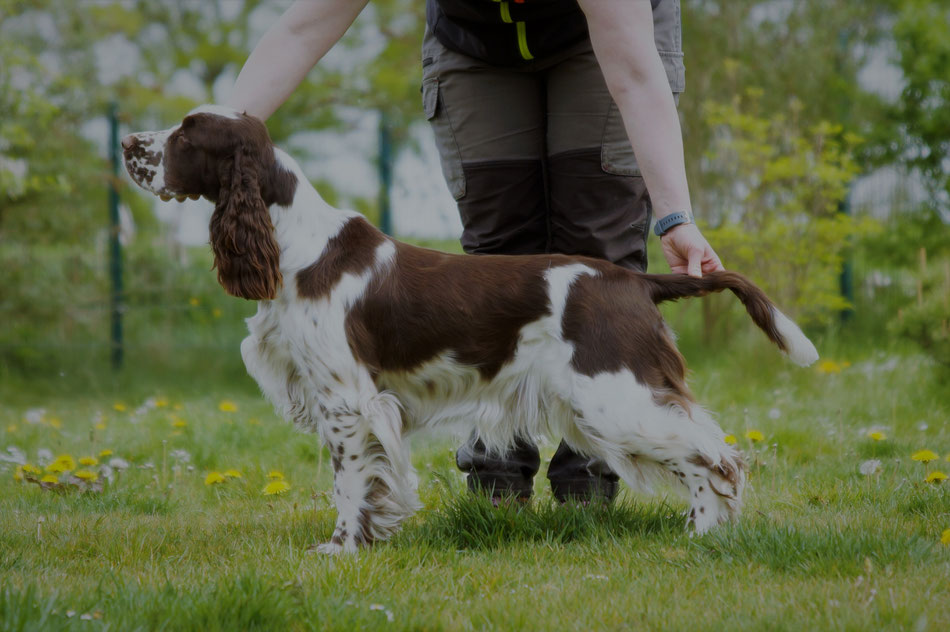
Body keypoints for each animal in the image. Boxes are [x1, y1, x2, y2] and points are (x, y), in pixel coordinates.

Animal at [121, 106, 820, 556]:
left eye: (187, 135)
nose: (128, 143)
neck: (295, 243)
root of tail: (633, 281)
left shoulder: (347, 400)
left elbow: (348, 482)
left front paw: (342, 549)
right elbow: (375, 482)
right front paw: (374, 536)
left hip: (614, 396)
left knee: (717, 455)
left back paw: (701, 532)